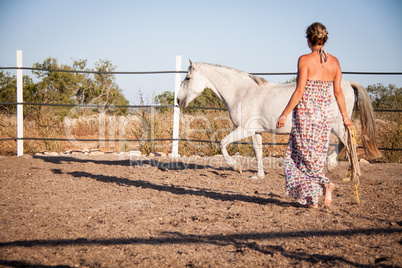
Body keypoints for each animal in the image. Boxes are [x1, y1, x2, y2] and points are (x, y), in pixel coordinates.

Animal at [177, 59, 382, 179]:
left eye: (187, 78)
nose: (178, 100)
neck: (243, 92)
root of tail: (346, 84)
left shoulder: (244, 129)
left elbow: (222, 143)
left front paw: (236, 167)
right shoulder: (256, 132)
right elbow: (258, 152)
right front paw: (258, 176)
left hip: (338, 124)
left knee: (350, 144)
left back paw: (352, 174)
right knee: (344, 143)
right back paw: (331, 166)